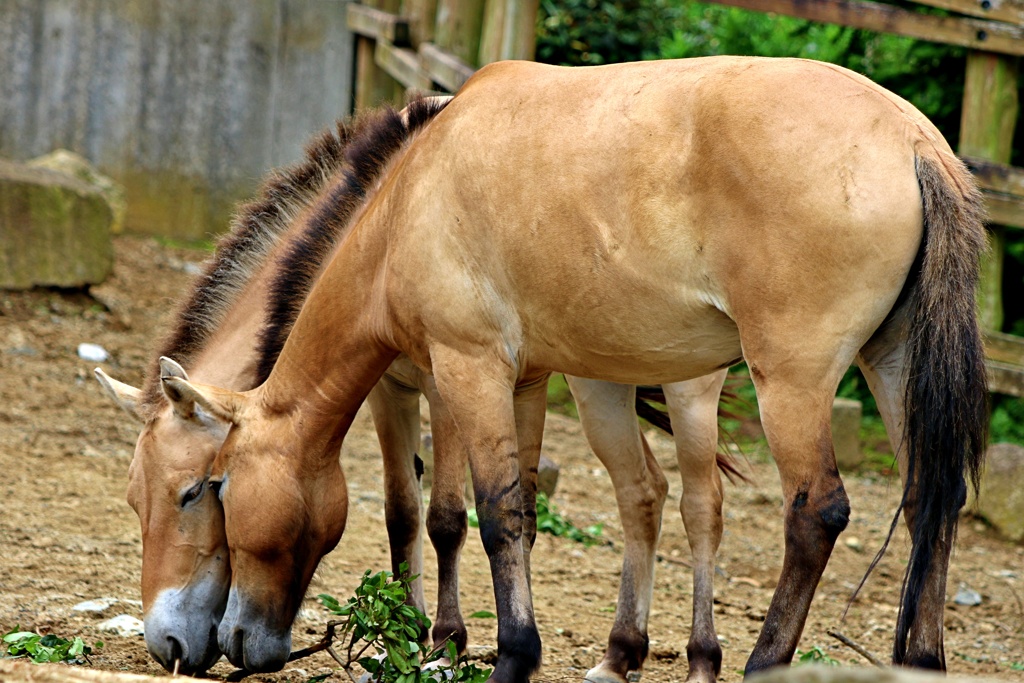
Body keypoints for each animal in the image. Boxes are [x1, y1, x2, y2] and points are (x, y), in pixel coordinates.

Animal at [94, 98, 737, 679]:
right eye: (134, 502)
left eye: (195, 492)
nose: (168, 645)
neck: (383, 226)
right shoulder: (390, 392)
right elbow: (403, 513)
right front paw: (402, 636)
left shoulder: (446, 383)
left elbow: (447, 518)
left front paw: (447, 644)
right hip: (599, 384)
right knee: (641, 491)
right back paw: (619, 655)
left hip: (686, 388)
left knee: (699, 505)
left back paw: (700, 658)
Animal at [169, 56, 991, 679]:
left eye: (209, 488)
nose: (212, 642)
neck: (412, 195)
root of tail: (915, 141)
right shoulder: (526, 380)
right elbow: (519, 513)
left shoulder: (467, 371)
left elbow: (492, 512)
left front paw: (507, 655)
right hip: (891, 366)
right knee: (931, 498)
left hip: (785, 382)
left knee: (812, 512)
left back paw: (760, 661)